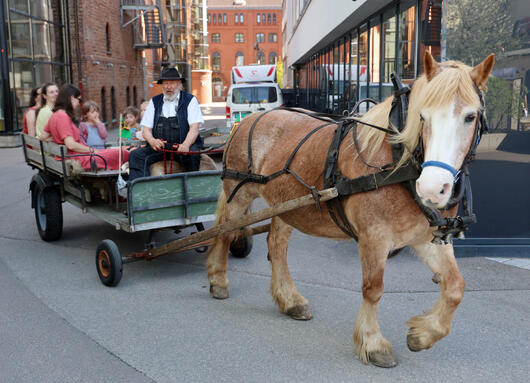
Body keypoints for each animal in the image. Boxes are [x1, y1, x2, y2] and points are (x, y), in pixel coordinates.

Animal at [204, 52, 492, 368]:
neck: (397, 161)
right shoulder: (374, 237)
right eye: (423, 116)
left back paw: (290, 300)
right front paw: (373, 343)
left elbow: (455, 287)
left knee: (276, 245)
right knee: (224, 233)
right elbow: (373, 288)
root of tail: (249, 119)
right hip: (239, 193)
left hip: (285, 204)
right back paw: (218, 279)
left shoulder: (425, 239)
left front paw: (423, 334)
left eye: (470, 116)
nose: (432, 188)